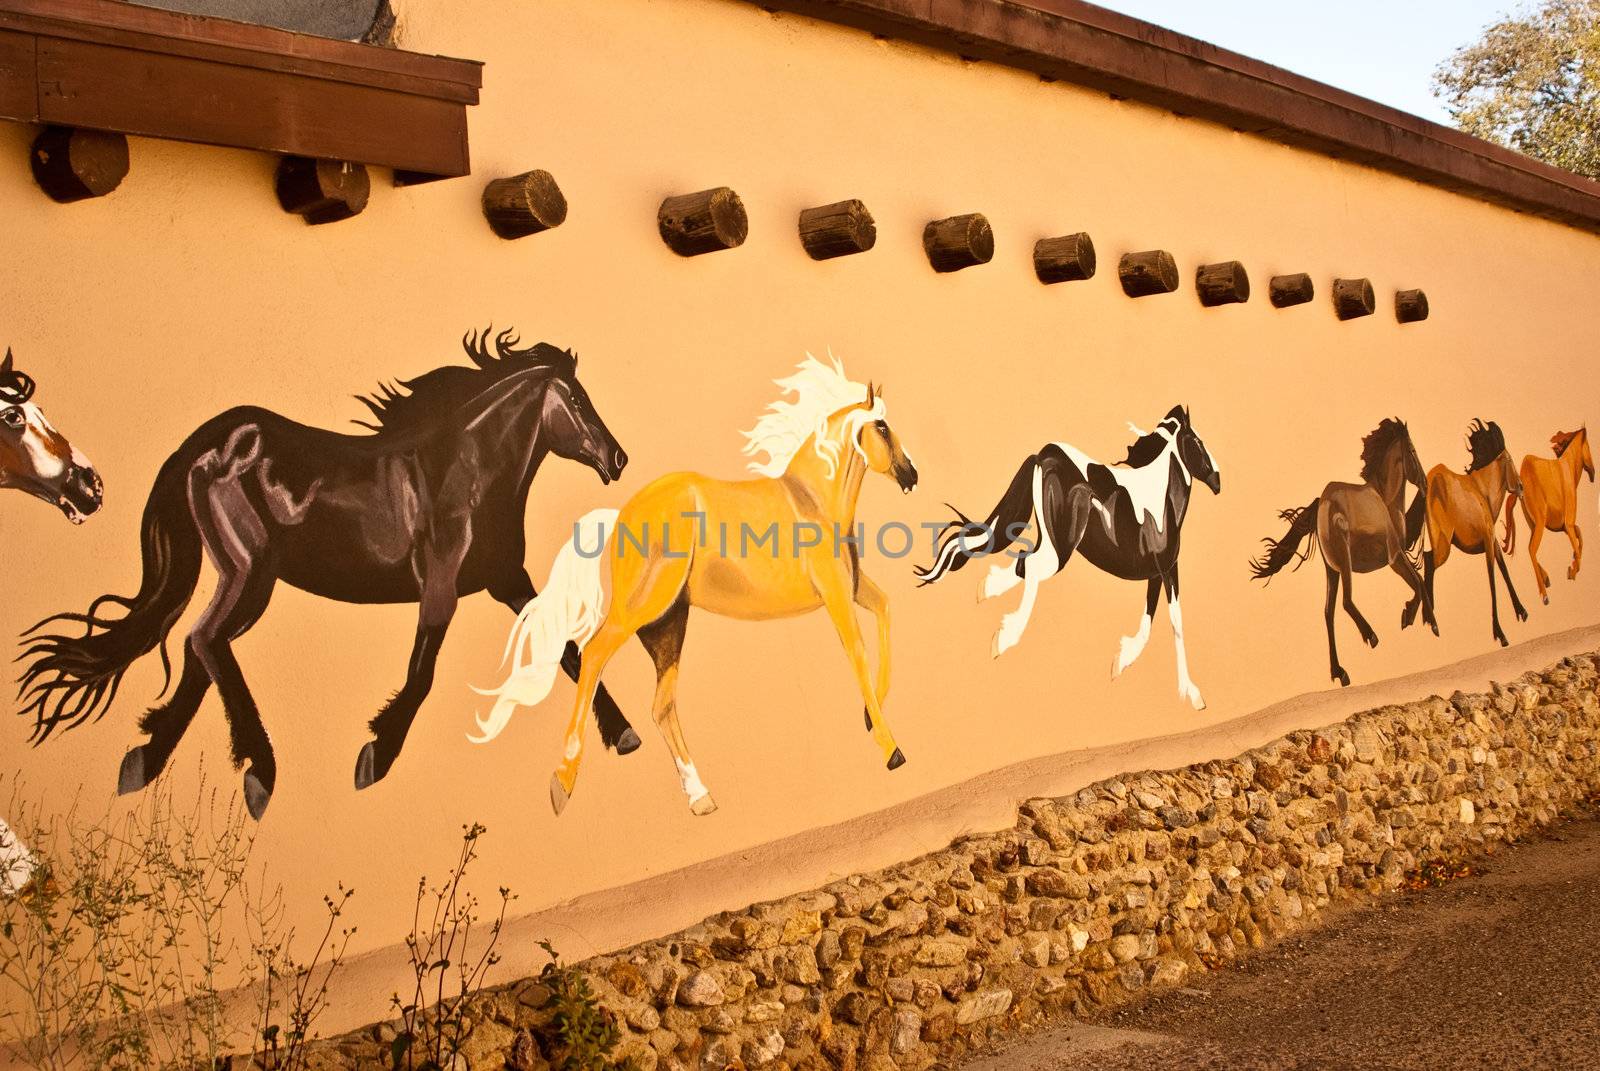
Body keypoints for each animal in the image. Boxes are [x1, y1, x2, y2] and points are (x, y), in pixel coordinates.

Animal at [18, 328, 640, 819]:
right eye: (577, 400)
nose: (618, 459)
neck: (470, 469)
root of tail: (206, 444)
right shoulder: (440, 588)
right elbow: (422, 675)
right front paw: (375, 756)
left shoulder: (508, 580)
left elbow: (570, 652)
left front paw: (625, 734)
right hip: (252, 573)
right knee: (206, 640)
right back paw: (259, 775)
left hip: (237, 577)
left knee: (199, 648)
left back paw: (145, 761)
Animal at [921, 405, 1216, 704]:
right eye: (1198, 442)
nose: (1217, 481)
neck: (1161, 502)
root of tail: (1043, 455)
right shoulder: (1167, 570)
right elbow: (1175, 621)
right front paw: (1191, 693)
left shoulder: (1155, 573)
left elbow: (1149, 618)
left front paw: (1122, 660)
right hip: (1060, 548)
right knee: (1030, 565)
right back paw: (1005, 637)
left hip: (1052, 542)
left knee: (1022, 562)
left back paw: (987, 590)